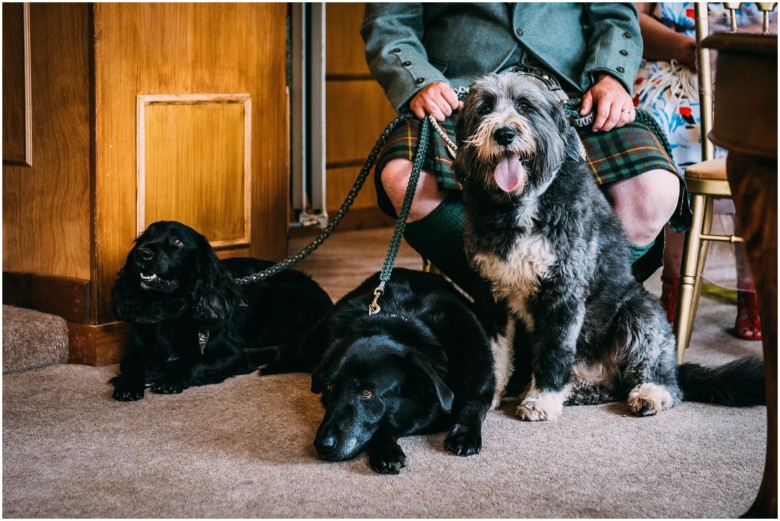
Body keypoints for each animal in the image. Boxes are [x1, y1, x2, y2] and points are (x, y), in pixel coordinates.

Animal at [454, 72, 764, 418]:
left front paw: (542, 399)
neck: (519, 204)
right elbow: (496, 353)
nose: (504, 133)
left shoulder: (562, 293)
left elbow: (554, 351)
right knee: (608, 386)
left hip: (640, 312)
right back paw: (573, 390)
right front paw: (489, 394)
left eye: (524, 105)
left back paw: (649, 394)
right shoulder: (490, 295)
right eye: (484, 108)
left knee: (664, 380)